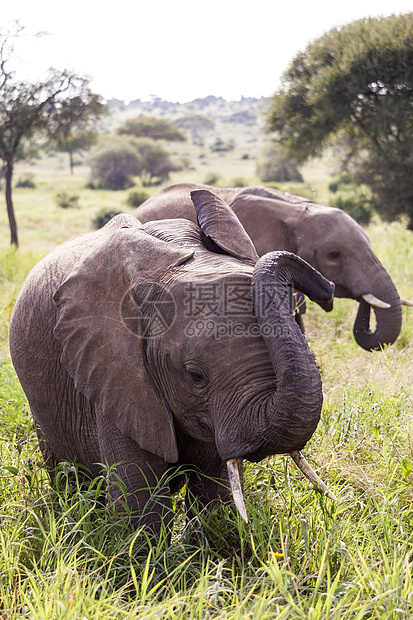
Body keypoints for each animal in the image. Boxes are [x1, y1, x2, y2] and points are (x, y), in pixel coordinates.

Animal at [8, 188, 334, 532]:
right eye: (195, 376)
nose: (328, 290)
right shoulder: (114, 373)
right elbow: (140, 507)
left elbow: (214, 492)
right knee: (66, 473)